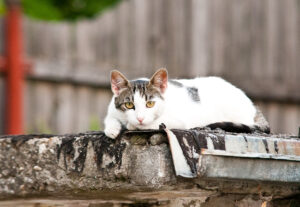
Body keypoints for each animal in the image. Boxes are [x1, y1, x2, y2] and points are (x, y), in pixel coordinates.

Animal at [103, 68, 270, 138]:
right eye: (129, 105)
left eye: (150, 104)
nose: (139, 118)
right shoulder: (112, 109)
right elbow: (109, 118)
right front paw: (112, 128)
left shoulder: (178, 121)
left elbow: (152, 124)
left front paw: (132, 125)